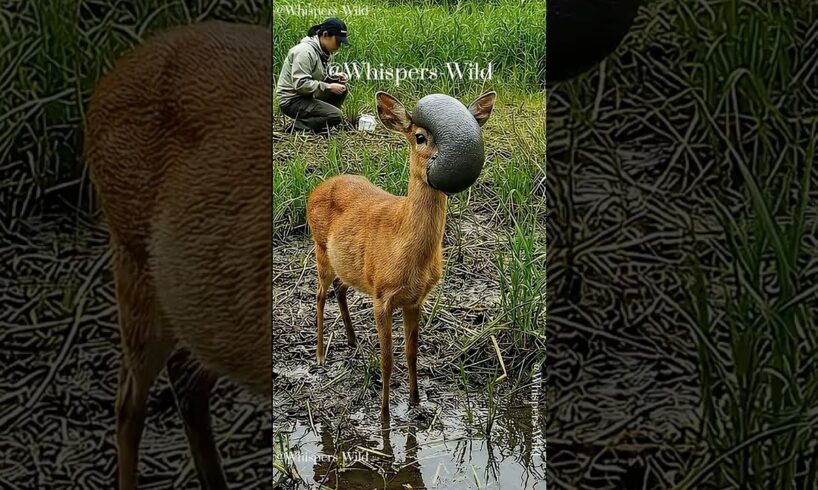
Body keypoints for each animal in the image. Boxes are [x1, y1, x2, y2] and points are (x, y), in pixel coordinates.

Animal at [306, 90, 496, 423]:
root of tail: (319, 187)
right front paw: (384, 417)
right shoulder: (382, 297)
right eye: (419, 137)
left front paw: (415, 402)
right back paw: (318, 357)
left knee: (340, 288)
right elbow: (387, 360)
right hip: (320, 250)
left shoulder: (415, 299)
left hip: (348, 266)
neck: (404, 245)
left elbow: (411, 353)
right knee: (318, 295)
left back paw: (352, 340)